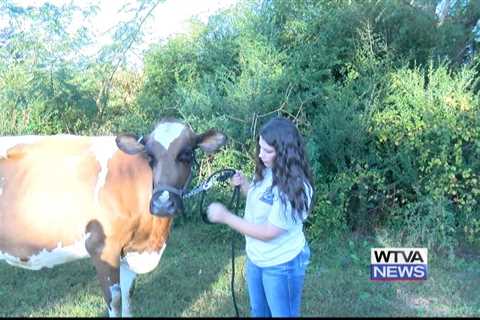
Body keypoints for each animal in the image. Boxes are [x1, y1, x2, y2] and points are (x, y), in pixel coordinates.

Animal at [0, 118, 227, 318]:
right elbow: (115, 300)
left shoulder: (129, 250)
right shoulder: (102, 248)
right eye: (150, 157)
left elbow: (128, 295)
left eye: (186, 154)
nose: (162, 203)